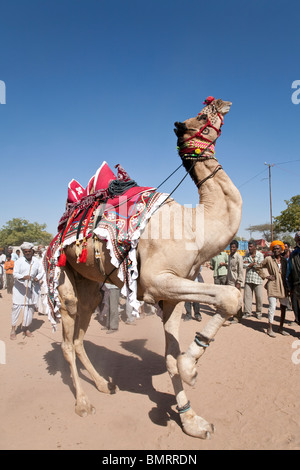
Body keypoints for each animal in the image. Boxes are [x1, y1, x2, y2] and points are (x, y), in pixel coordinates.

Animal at [47, 95, 244, 436]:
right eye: (201, 115)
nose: (222, 101)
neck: (195, 224)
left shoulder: (172, 295)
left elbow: (170, 358)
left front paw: (192, 421)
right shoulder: (156, 281)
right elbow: (230, 295)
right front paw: (192, 369)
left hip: (91, 287)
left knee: (81, 335)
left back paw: (104, 384)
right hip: (65, 280)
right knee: (67, 343)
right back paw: (83, 403)